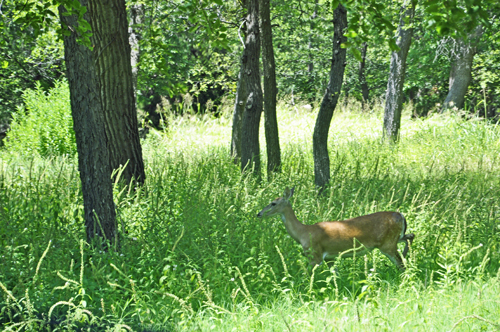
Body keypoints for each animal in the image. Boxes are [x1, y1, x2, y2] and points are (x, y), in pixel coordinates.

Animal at [256, 187, 416, 270]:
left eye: (273, 203)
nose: (259, 214)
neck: (303, 233)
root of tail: (400, 215)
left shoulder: (315, 255)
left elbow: (306, 275)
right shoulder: (330, 258)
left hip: (387, 244)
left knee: (401, 263)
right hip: (394, 239)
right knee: (410, 236)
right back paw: (407, 254)